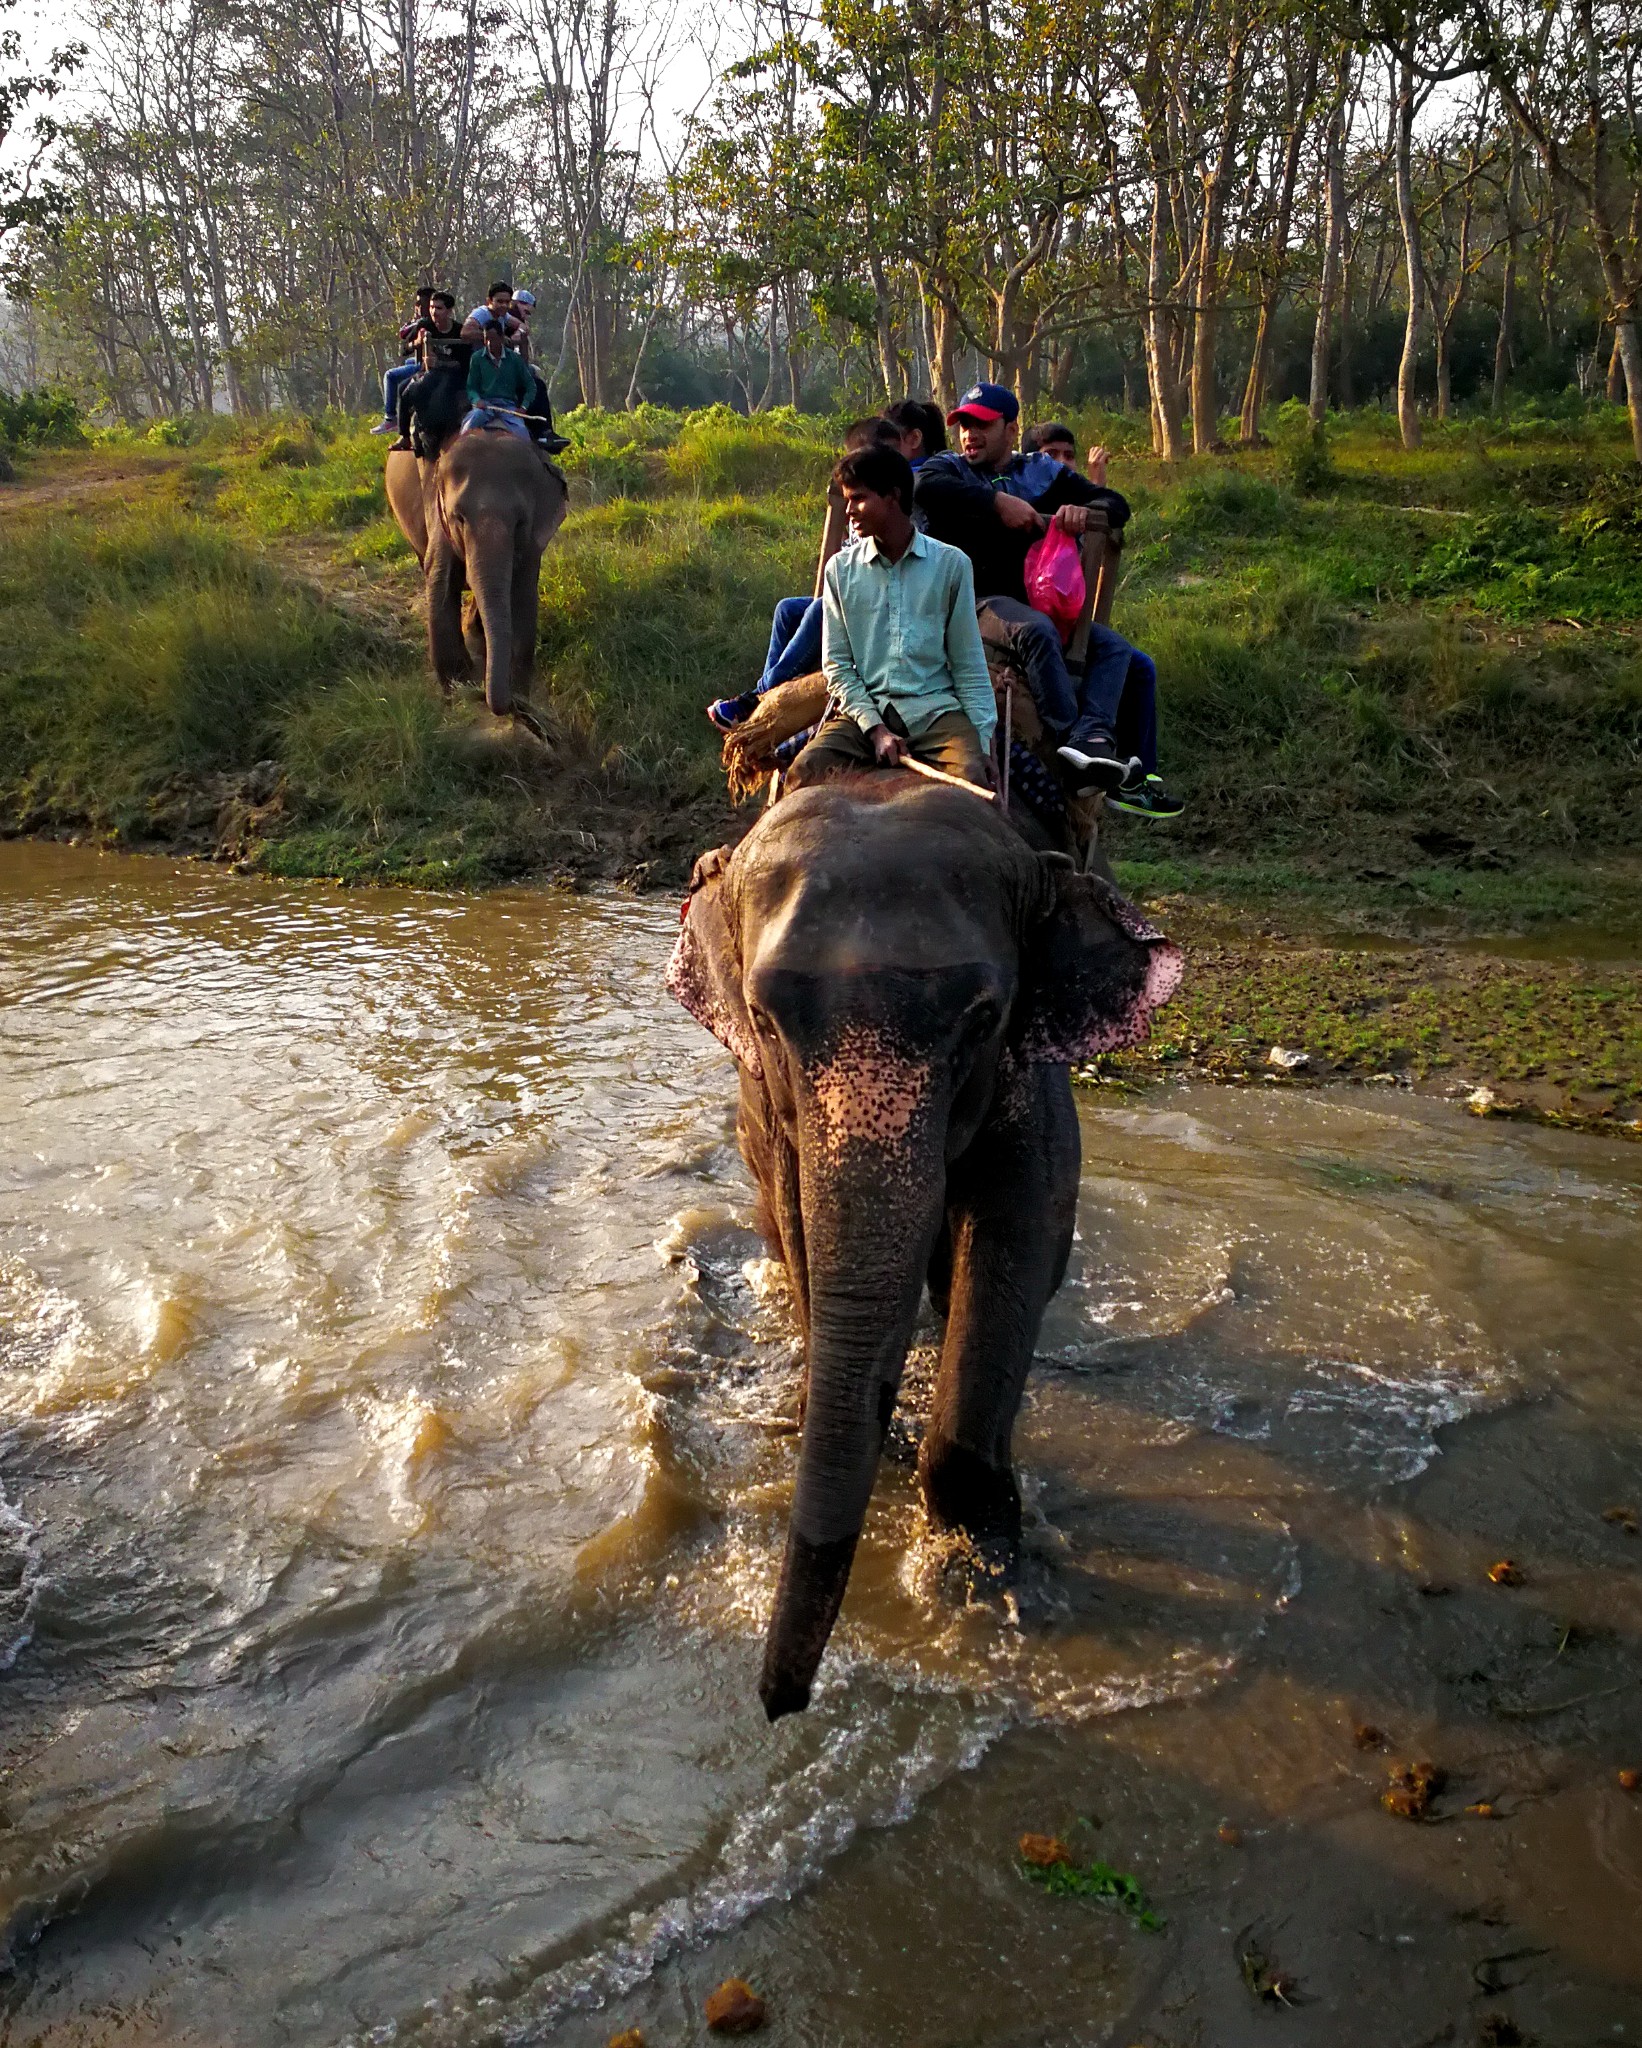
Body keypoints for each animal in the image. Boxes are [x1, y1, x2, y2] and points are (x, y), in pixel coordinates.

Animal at [384, 434, 569, 720]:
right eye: (458, 517)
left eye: (520, 522)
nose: (511, 707)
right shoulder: (437, 513)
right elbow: (441, 581)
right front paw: (458, 688)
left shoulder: (532, 543)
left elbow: (522, 594)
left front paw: (517, 692)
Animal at [663, 770, 1179, 1712]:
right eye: (763, 1017)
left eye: (982, 1017)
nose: (779, 1704)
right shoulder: (775, 1119)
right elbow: (801, 1222)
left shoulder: (1029, 1080)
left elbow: (1016, 1235)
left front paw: (976, 1578)